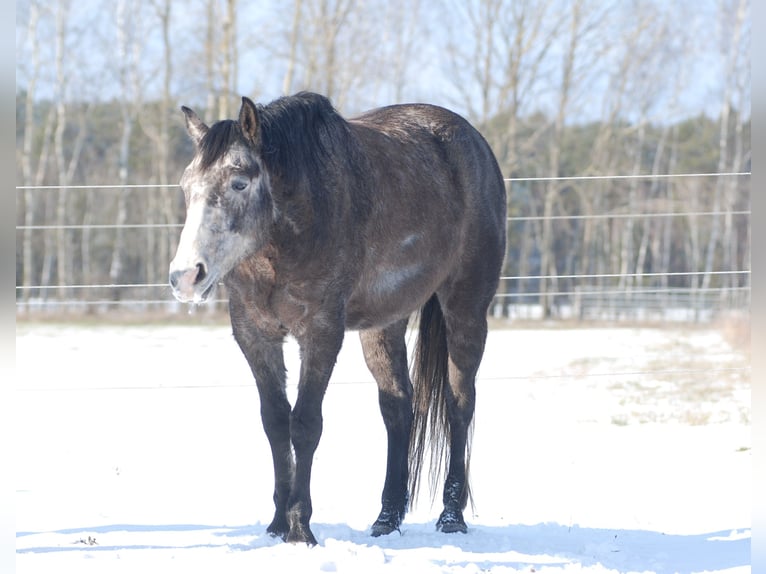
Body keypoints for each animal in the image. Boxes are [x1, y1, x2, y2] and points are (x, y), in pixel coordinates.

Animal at [169, 92, 508, 548]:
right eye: (187, 187)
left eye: (239, 182)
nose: (186, 276)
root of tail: (476, 145)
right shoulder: (255, 335)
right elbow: (275, 423)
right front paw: (276, 523)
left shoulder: (321, 333)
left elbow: (305, 424)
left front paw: (300, 527)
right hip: (383, 325)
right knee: (397, 409)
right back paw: (387, 517)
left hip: (467, 307)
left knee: (460, 404)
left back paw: (452, 515)